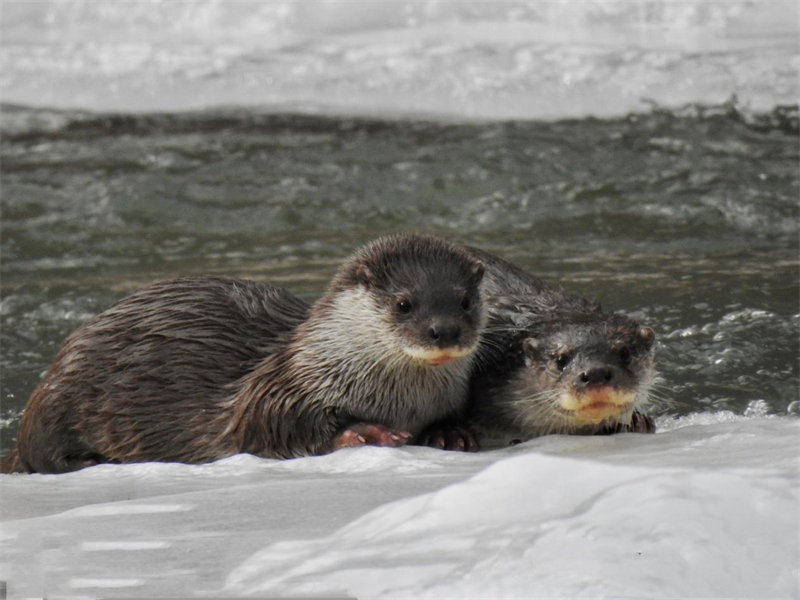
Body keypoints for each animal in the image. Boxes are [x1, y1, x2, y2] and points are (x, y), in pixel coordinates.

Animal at [1, 234, 488, 474]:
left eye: (464, 301)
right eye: (404, 303)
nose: (444, 330)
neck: (400, 401)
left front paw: (450, 434)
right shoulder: (280, 388)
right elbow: (274, 426)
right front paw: (366, 432)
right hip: (60, 399)